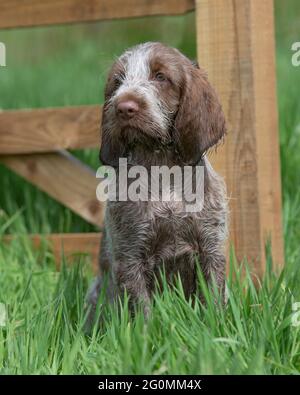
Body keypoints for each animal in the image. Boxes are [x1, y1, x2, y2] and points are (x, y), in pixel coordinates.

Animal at [86, 42, 227, 322]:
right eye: (118, 81)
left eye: (160, 77)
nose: (124, 107)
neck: (163, 170)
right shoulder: (130, 257)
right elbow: (143, 313)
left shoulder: (211, 249)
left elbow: (213, 303)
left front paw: (217, 328)